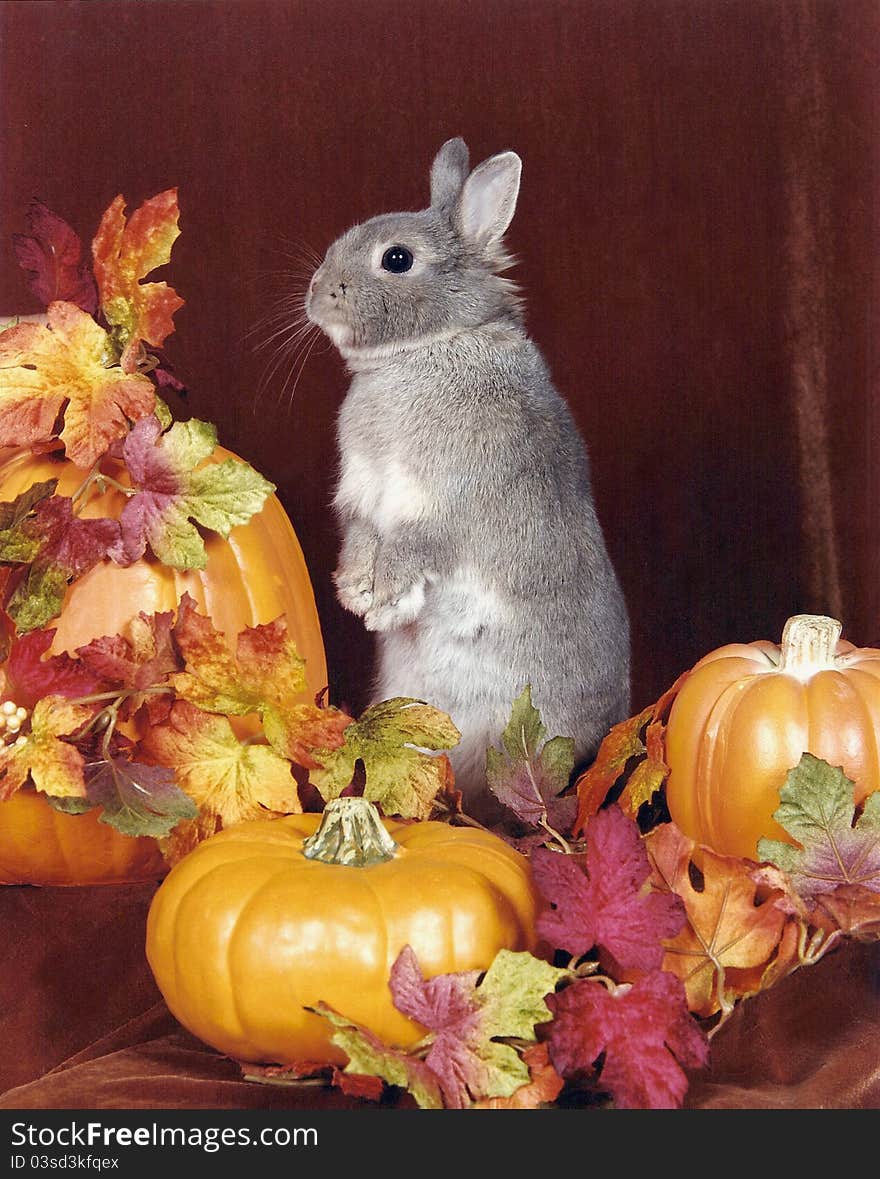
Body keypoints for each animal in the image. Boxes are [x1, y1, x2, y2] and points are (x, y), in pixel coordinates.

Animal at [304, 137, 627, 820]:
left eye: (397, 258)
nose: (317, 294)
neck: (425, 349)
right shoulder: (362, 499)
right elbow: (362, 538)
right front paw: (355, 592)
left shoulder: (444, 505)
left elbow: (414, 547)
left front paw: (383, 599)